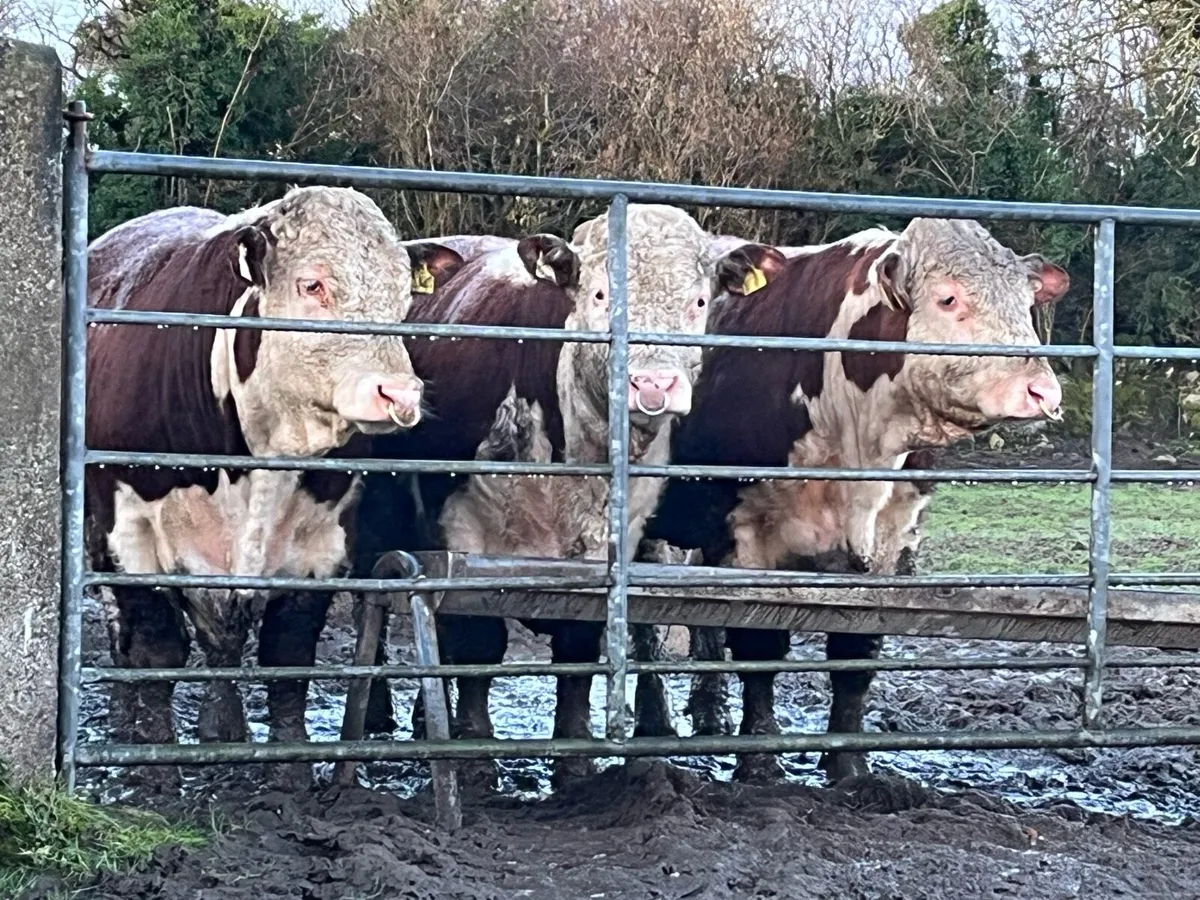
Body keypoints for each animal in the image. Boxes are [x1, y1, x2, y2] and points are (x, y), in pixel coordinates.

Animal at [85, 186, 464, 790]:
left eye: (404, 296)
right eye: (312, 285)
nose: (399, 394)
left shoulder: (323, 543)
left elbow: (289, 650)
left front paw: (289, 770)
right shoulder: (128, 534)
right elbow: (154, 647)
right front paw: (154, 764)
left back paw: (224, 729)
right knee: (127, 635)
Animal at [353, 207, 782, 786]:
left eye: (698, 302)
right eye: (600, 294)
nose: (654, 383)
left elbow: (579, 648)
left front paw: (574, 757)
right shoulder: (459, 532)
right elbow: (476, 643)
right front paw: (474, 752)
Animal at [643, 217, 1069, 782]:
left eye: (1025, 302)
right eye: (948, 298)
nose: (1041, 391)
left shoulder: (897, 529)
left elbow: (858, 647)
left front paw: (849, 763)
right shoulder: (746, 531)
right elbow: (759, 644)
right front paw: (759, 761)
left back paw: (709, 714)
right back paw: (655, 722)